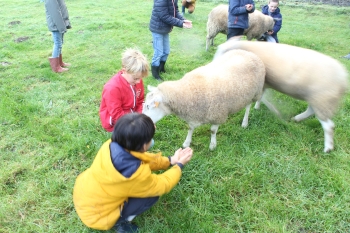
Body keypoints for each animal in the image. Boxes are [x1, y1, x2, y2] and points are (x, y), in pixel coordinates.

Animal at [215, 40, 348, 153]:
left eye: (223, 52)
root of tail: (343, 77)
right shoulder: (264, 82)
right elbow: (262, 96)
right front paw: (258, 107)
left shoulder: (259, 82)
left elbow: (259, 98)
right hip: (316, 98)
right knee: (312, 111)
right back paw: (297, 118)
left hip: (322, 99)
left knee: (328, 125)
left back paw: (328, 148)